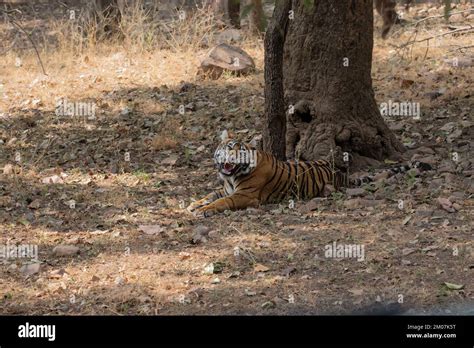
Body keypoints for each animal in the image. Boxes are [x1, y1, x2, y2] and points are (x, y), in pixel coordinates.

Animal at [187, 130, 432, 218]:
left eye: (240, 150)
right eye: (229, 147)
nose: (231, 158)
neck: (232, 176)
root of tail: (339, 173)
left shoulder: (245, 196)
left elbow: (221, 202)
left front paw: (203, 210)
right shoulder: (225, 188)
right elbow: (210, 195)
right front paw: (192, 204)